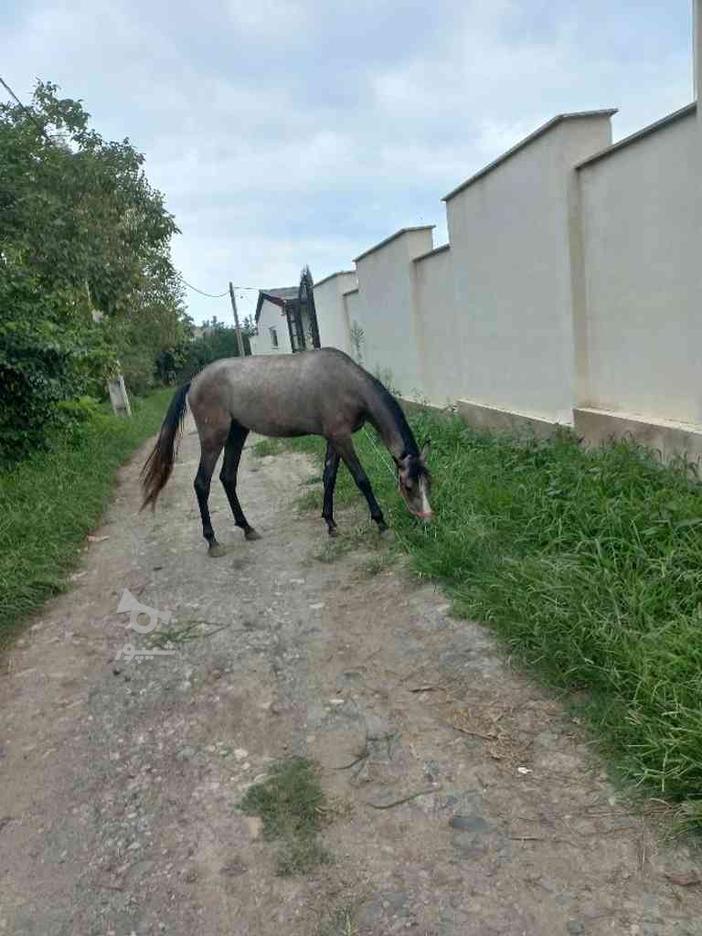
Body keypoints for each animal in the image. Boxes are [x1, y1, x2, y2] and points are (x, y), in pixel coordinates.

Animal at [140, 350, 432, 556]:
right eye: (407, 486)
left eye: (428, 483)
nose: (427, 518)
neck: (346, 383)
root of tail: (194, 381)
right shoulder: (342, 437)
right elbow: (362, 480)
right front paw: (381, 524)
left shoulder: (333, 439)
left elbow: (329, 478)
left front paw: (331, 524)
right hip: (214, 438)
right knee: (202, 483)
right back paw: (212, 541)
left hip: (238, 433)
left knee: (228, 478)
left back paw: (247, 528)